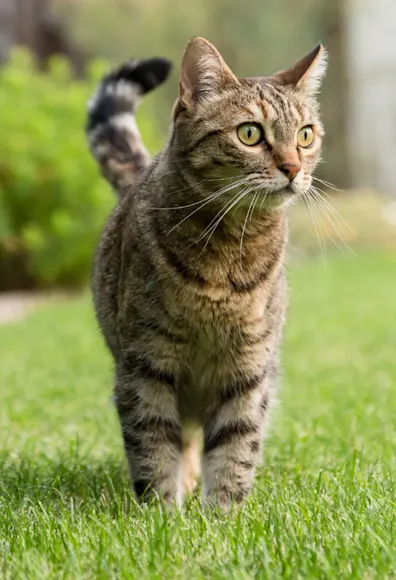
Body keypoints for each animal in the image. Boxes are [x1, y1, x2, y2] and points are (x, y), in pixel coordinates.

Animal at [87, 37, 328, 508]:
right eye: (250, 133)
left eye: (305, 135)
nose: (293, 168)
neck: (228, 252)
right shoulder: (146, 364)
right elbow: (153, 445)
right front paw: (162, 513)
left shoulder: (249, 368)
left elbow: (237, 446)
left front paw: (223, 514)